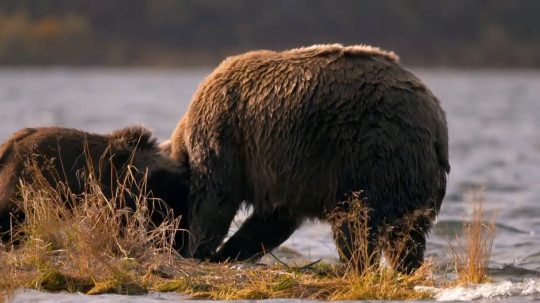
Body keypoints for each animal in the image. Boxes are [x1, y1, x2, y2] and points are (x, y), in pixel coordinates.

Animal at [171, 44, 450, 274]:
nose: (173, 240)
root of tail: (436, 121)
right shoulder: (283, 179)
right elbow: (269, 222)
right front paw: (227, 252)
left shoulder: (226, 133)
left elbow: (216, 198)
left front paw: (198, 250)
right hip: (413, 182)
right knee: (408, 236)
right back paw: (405, 268)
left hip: (372, 155)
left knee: (357, 221)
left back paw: (355, 267)